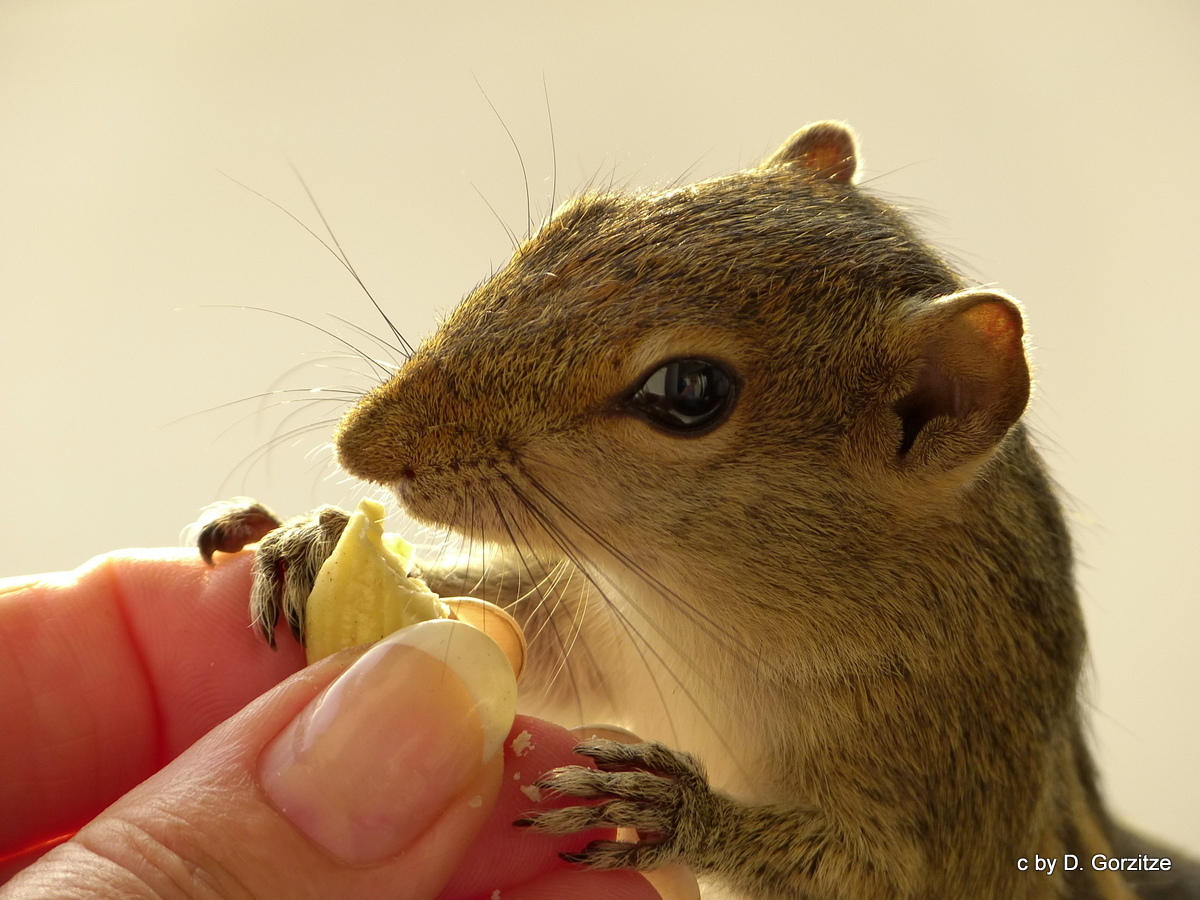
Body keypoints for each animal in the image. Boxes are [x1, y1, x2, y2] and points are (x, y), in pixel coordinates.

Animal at [199, 121, 1200, 900]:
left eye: (688, 392)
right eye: (575, 220)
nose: (360, 445)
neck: (700, 616)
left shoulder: (960, 786)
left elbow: (866, 873)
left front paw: (674, 808)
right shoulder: (602, 629)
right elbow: (531, 641)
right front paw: (307, 538)